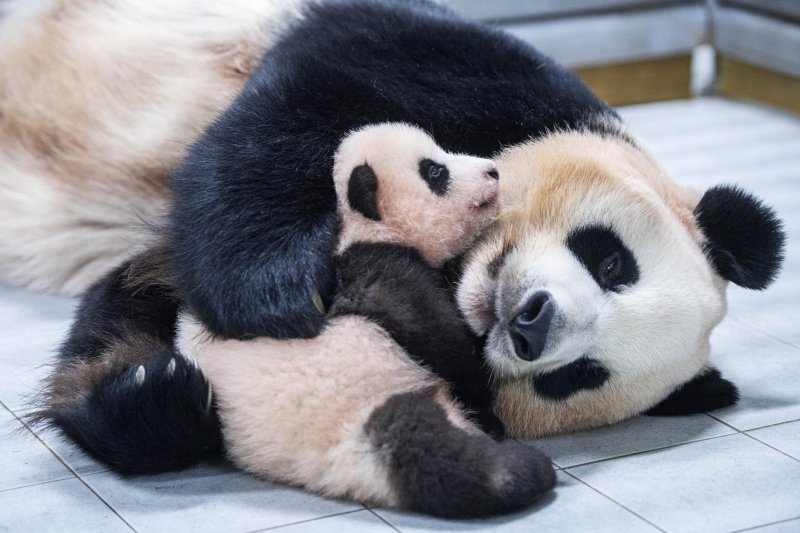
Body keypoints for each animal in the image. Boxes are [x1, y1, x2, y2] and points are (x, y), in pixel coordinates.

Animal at [176, 122, 560, 516]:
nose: (492, 170)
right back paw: (523, 468)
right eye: (435, 172)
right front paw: (479, 380)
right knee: (426, 452)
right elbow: (432, 332)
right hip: (365, 408)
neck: (370, 229)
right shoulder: (378, 268)